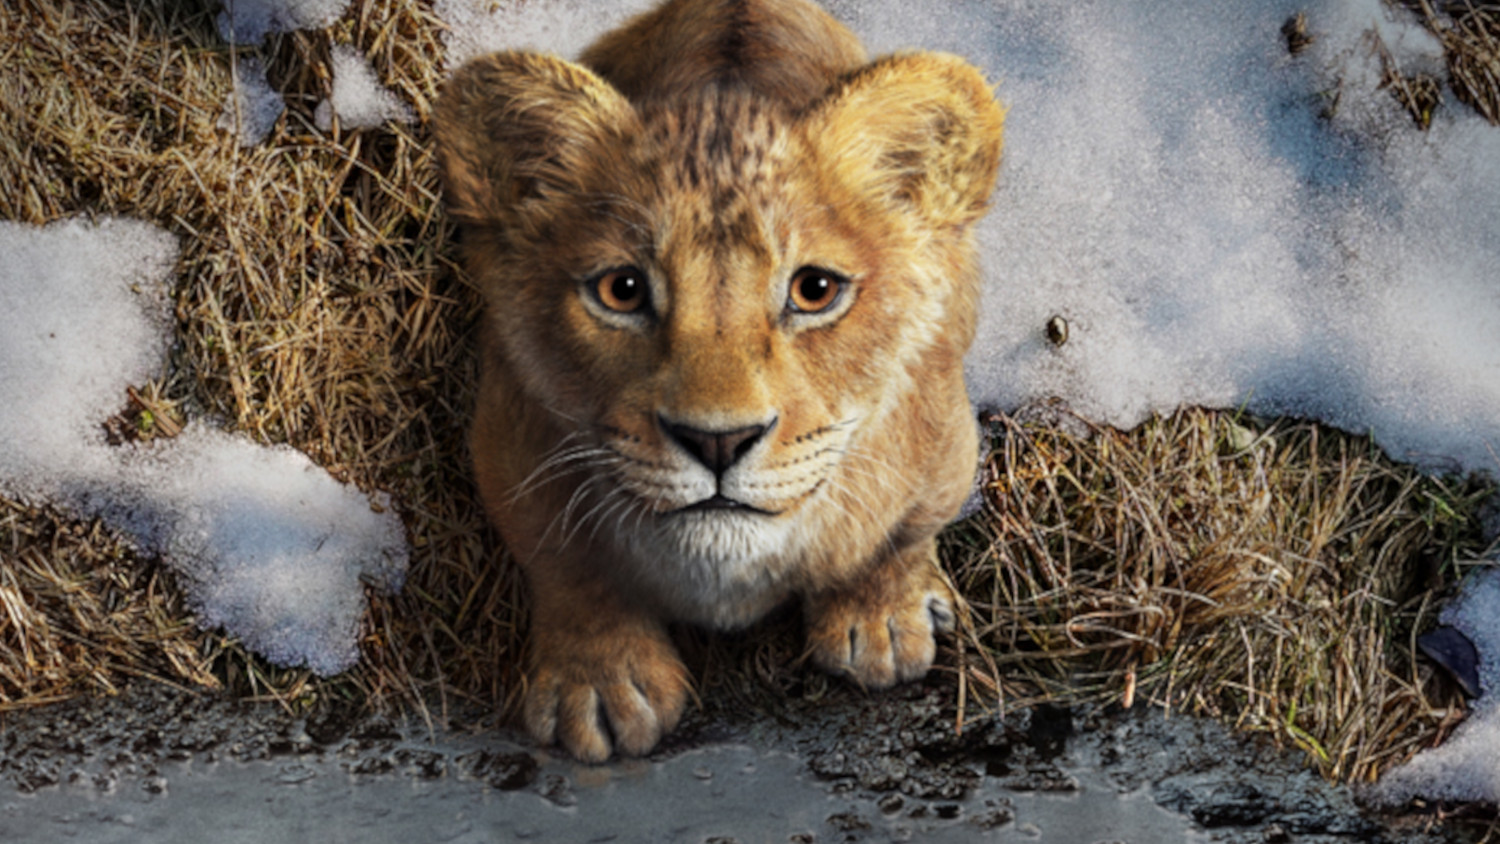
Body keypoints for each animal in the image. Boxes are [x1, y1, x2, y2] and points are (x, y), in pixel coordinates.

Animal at [434, 0, 1004, 762]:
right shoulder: (508, 438)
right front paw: (602, 683)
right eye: (621, 290)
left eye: (815, 290)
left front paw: (882, 620)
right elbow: (566, 564)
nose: (718, 442)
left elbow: (899, 534)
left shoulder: (944, 441)